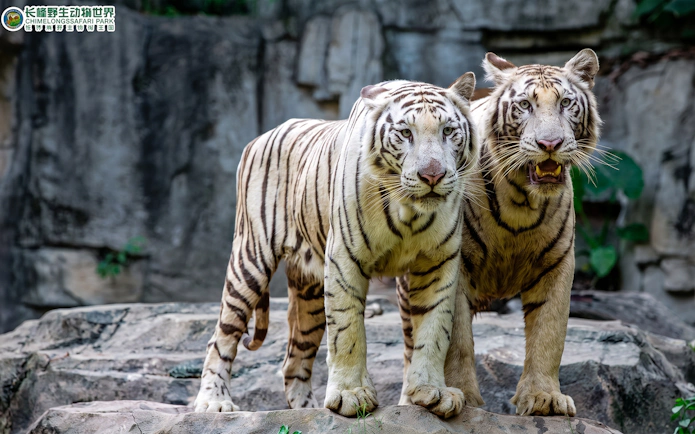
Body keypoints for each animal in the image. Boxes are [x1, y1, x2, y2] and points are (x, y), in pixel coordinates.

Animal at [193, 73, 480, 418]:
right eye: (405, 133)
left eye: (448, 131)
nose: (432, 176)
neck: (409, 212)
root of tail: (259, 138)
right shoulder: (345, 258)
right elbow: (348, 330)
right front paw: (350, 395)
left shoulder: (439, 262)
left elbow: (434, 330)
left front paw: (431, 391)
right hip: (250, 259)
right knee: (221, 336)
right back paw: (214, 401)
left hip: (310, 292)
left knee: (294, 363)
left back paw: (307, 410)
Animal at [397, 49, 601, 417]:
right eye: (525, 105)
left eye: (565, 103)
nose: (550, 143)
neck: (522, 202)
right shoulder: (455, 264)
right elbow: (456, 339)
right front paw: (463, 396)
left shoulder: (558, 264)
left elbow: (549, 334)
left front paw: (544, 398)